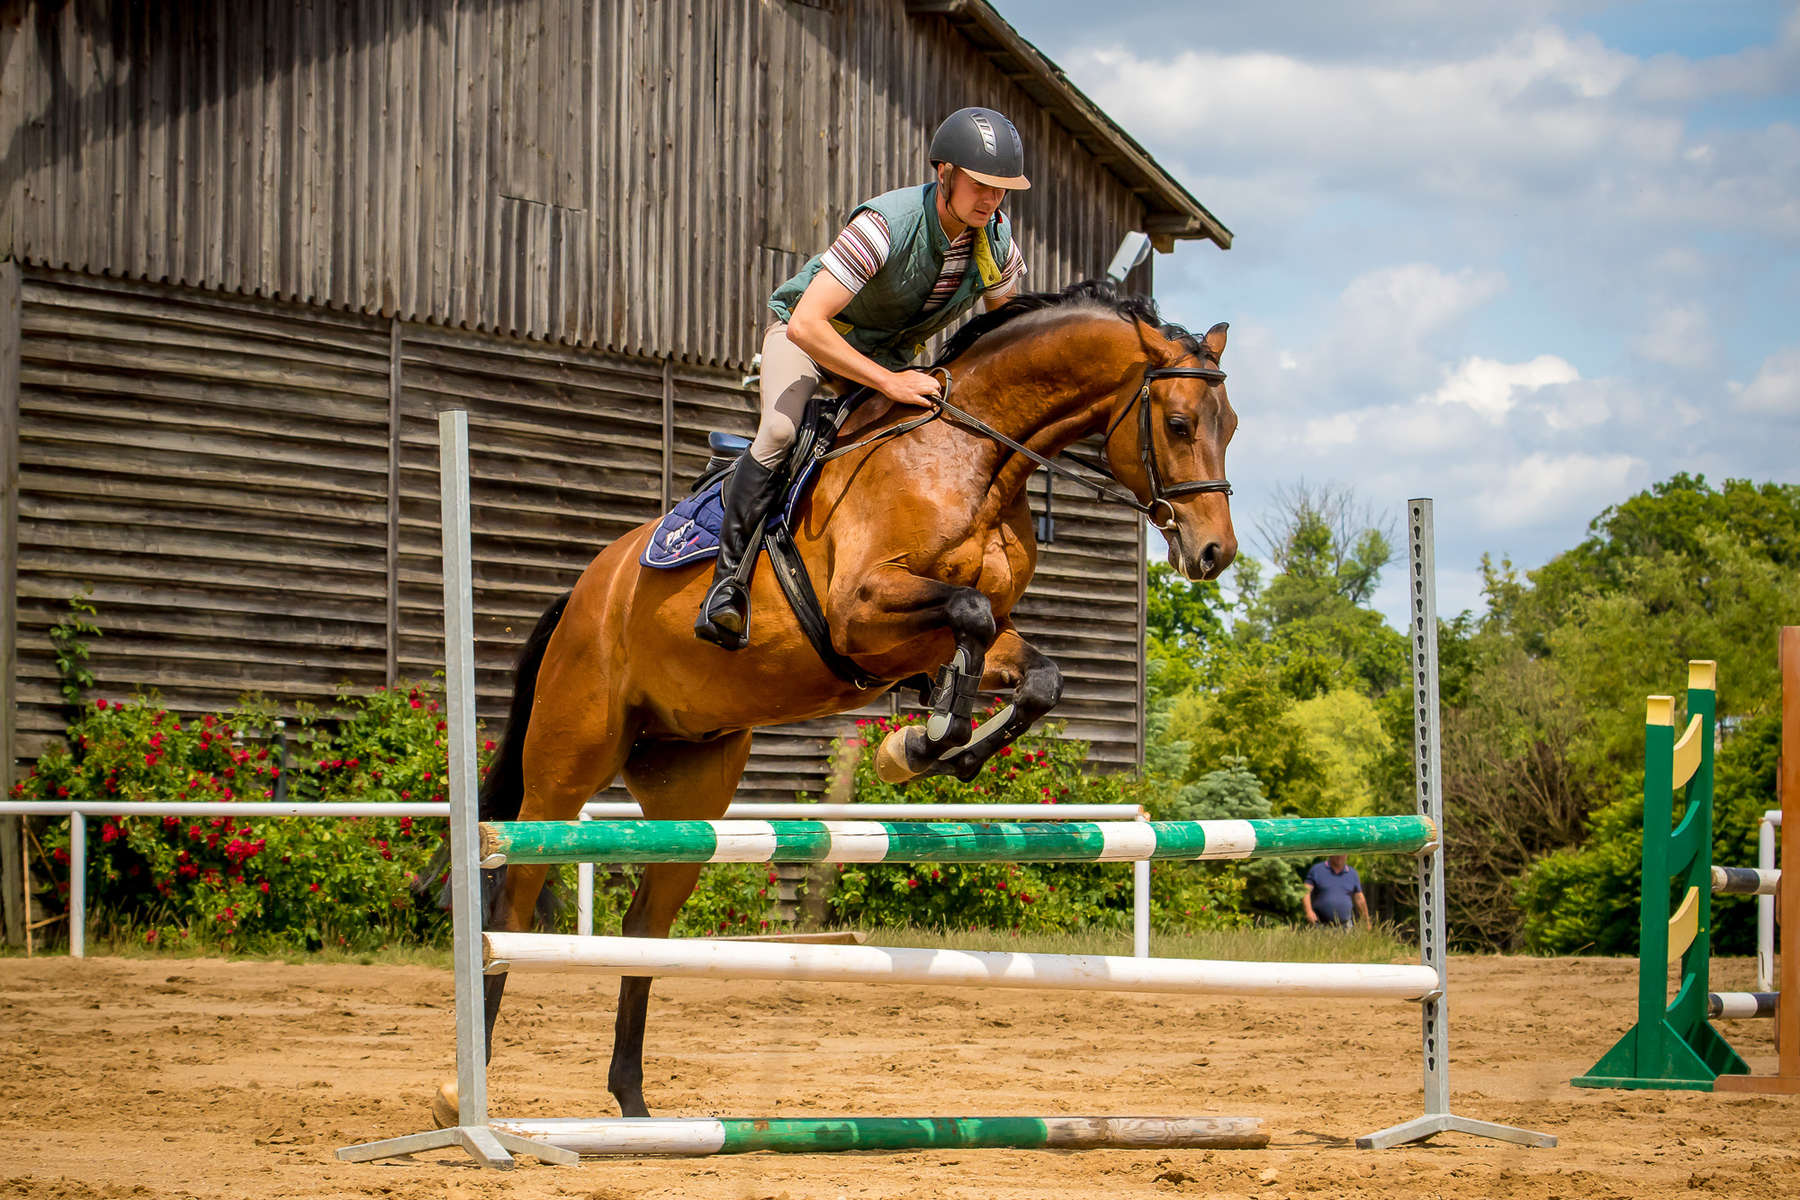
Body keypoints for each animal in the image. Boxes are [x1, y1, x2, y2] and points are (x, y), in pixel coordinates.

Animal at [457, 277, 1238, 1122]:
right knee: (511, 903)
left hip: (689, 784)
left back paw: (633, 1105)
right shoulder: (860, 611)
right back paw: (462, 1094)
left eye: (1230, 425)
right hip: (566, 765)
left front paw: (926, 747)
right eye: (1180, 423)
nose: (1214, 553)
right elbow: (969, 614)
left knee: (645, 925)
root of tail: (582, 593)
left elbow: (1035, 674)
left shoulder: (956, 635)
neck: (974, 460)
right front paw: (924, 738)